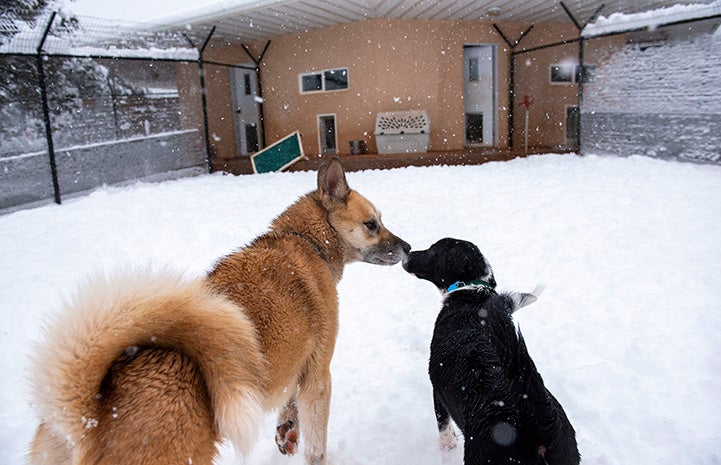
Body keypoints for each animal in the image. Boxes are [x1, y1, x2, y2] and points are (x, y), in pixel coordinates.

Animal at [29, 159, 410, 464]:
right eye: (372, 224)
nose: (407, 247)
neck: (306, 241)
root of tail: (88, 417)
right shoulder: (318, 376)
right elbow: (316, 445)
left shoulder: (295, 366)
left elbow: (290, 403)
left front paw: (287, 428)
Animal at [400, 237, 580, 462]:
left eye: (434, 250)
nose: (407, 252)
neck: (472, 289)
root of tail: (538, 426)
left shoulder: (438, 393)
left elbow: (444, 427)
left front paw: (448, 446)